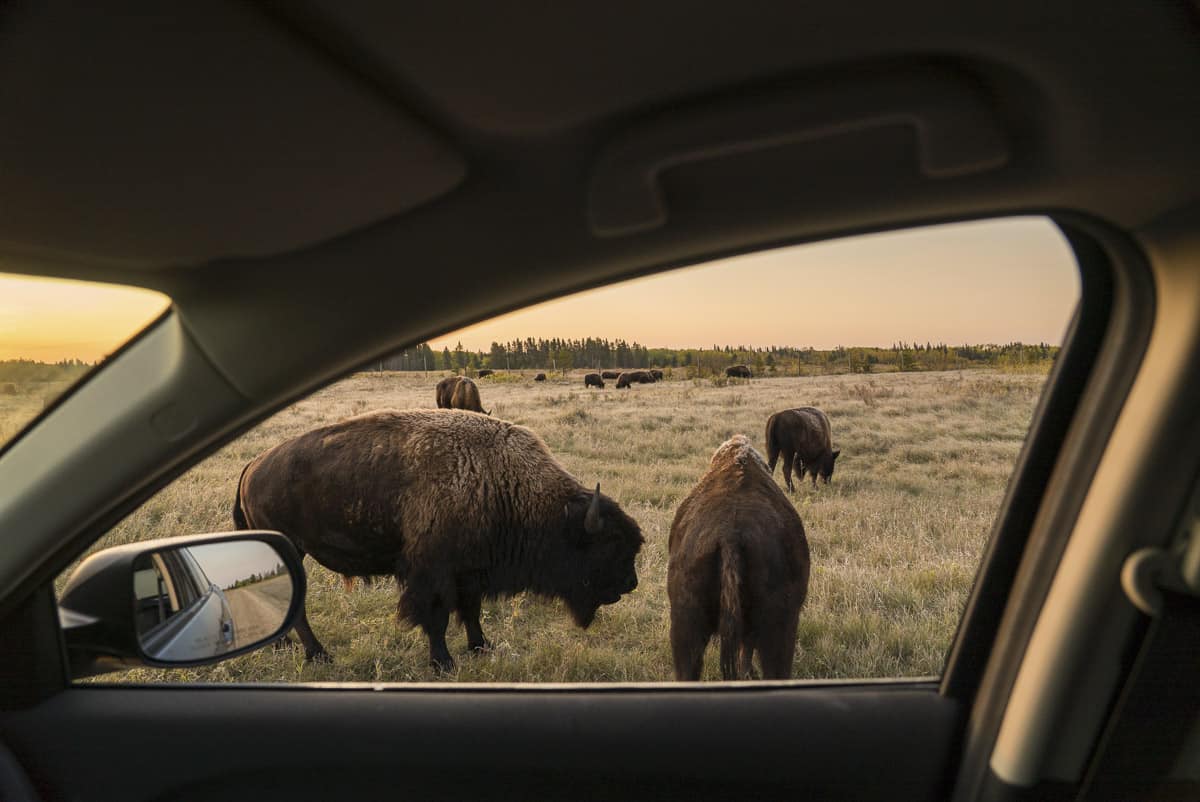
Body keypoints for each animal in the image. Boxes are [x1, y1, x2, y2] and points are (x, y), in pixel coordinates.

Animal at [235, 410, 648, 667]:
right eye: (608, 546)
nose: (630, 583)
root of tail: (253, 466)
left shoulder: (470, 572)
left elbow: (470, 611)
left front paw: (481, 647)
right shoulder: (433, 573)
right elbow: (436, 617)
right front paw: (443, 662)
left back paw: (285, 644)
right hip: (291, 547)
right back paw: (318, 654)